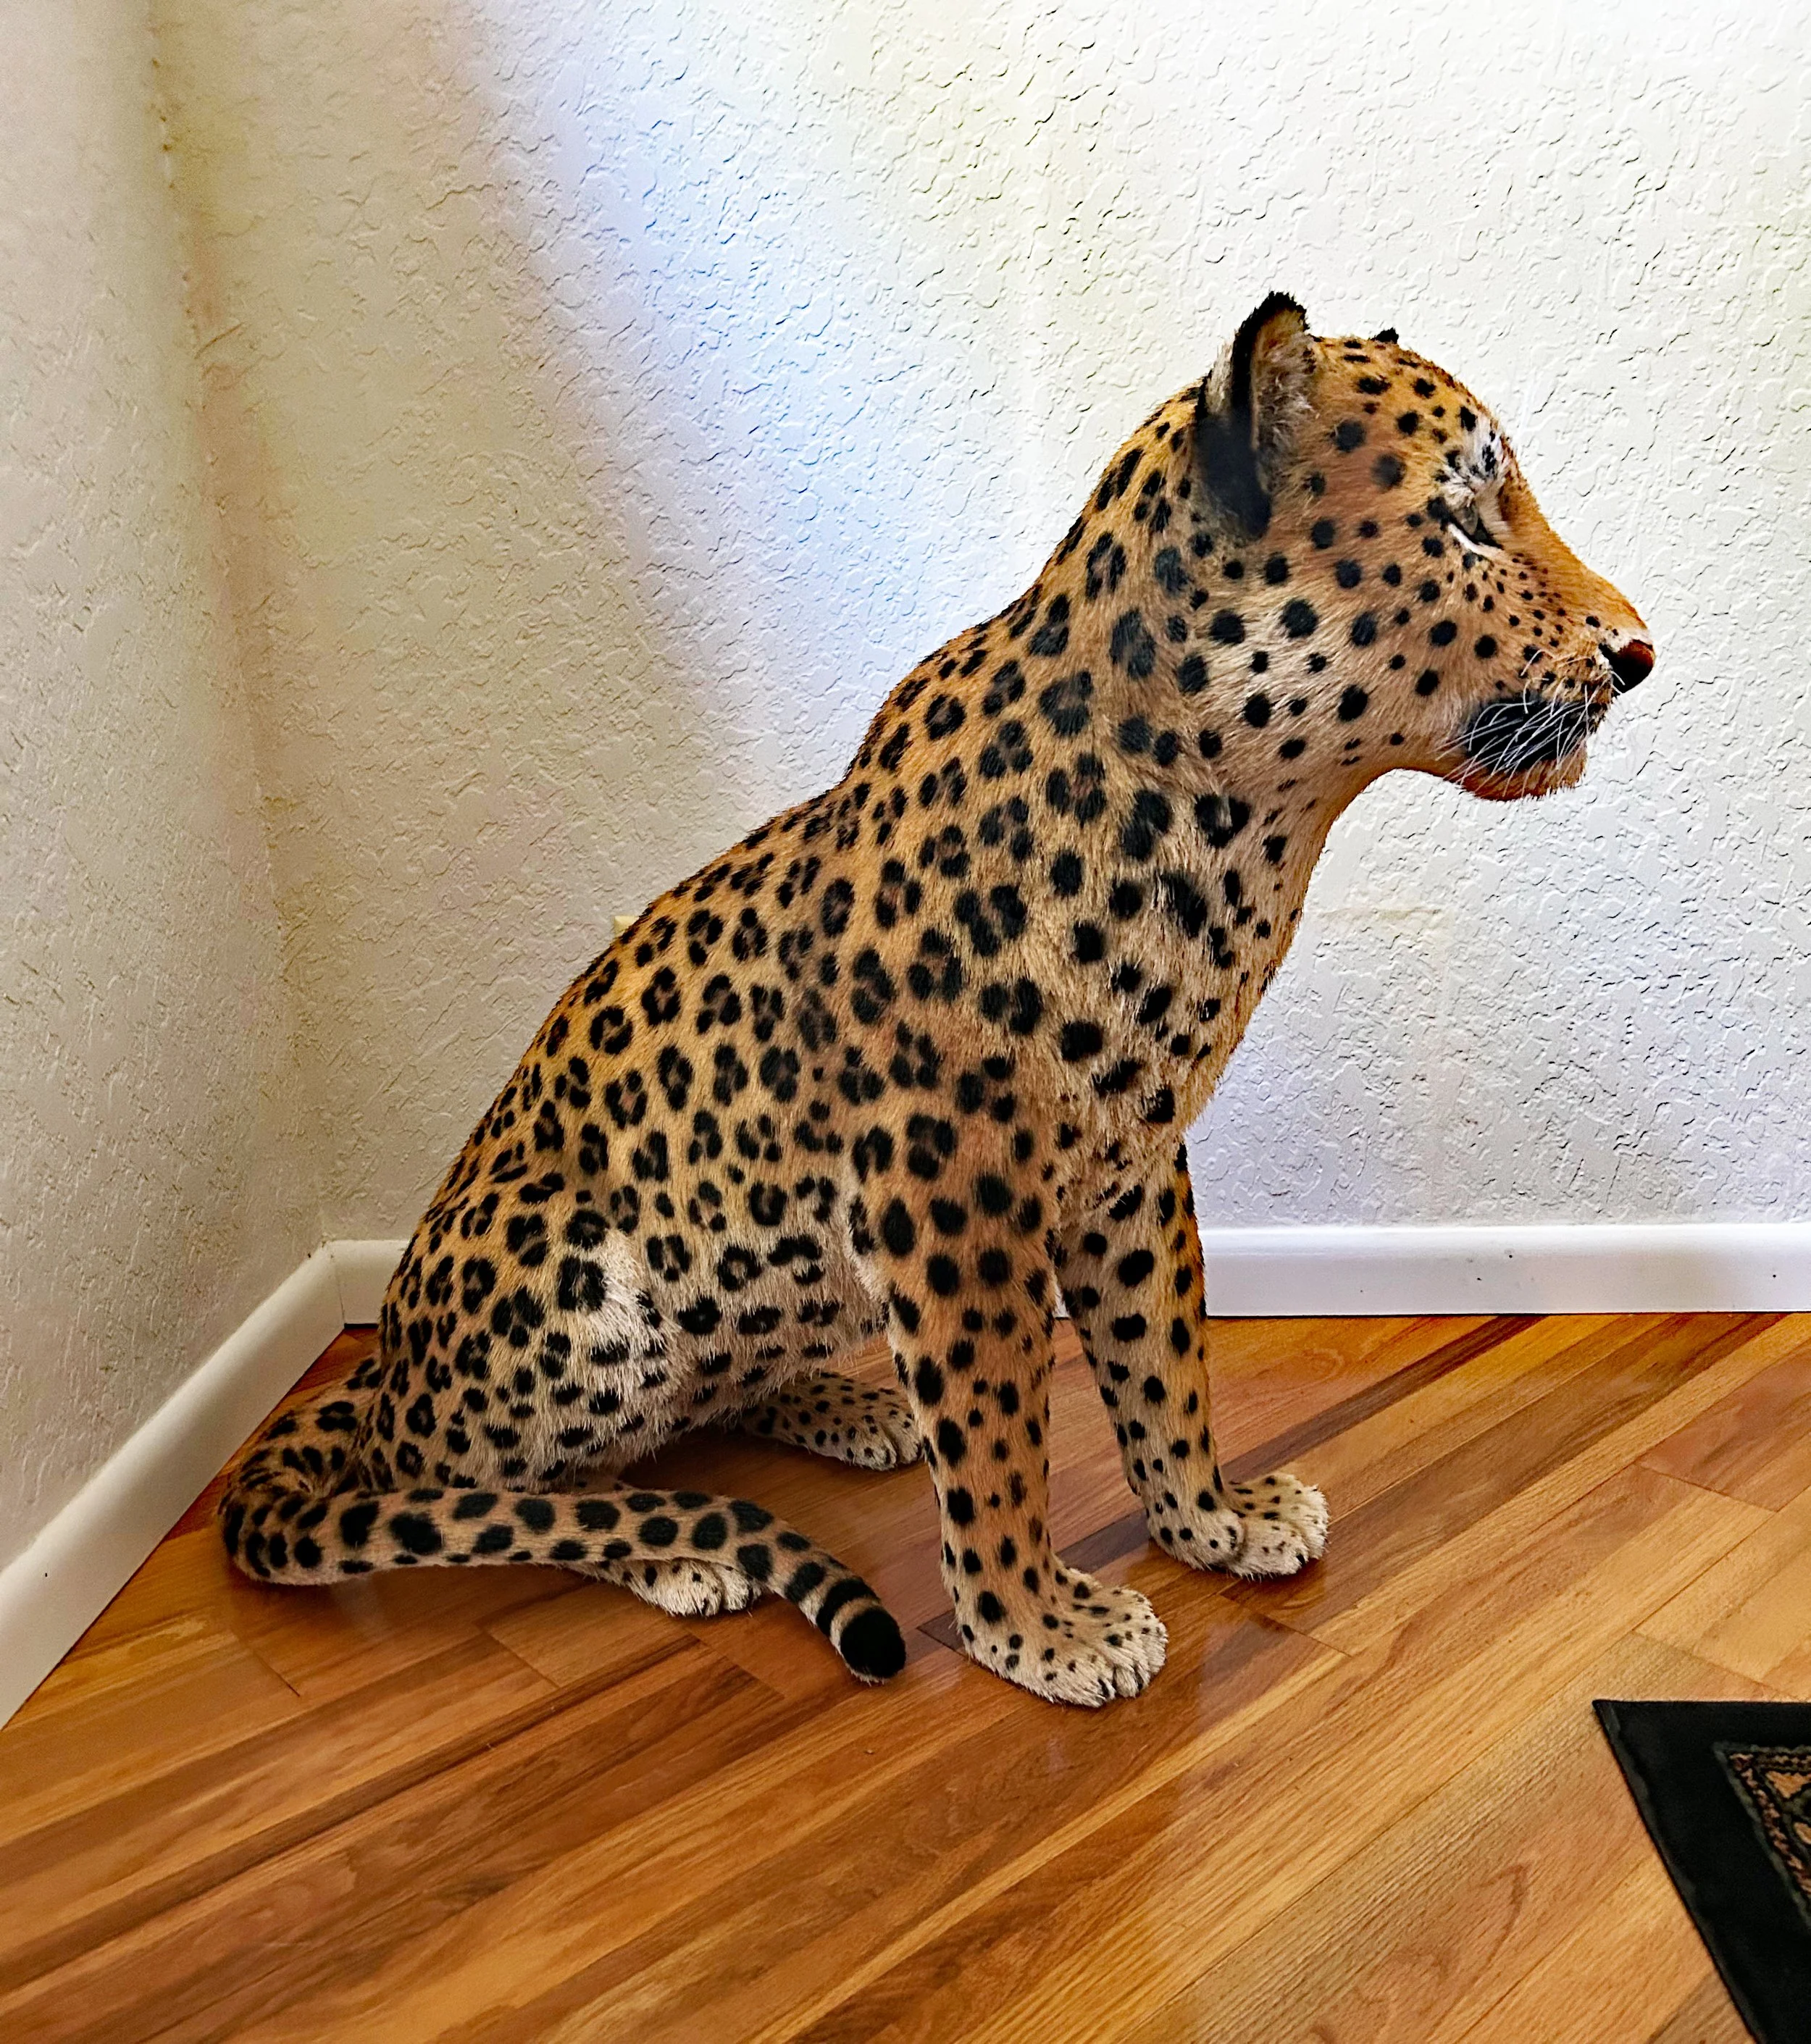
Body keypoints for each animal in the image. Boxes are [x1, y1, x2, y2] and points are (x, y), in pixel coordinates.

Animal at [223, 295, 1653, 1706]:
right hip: (572, 1272)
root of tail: (382, 1368)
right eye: (1464, 519)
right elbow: (999, 1434)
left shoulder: (1133, 1161)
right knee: (479, 1486)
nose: (1639, 653)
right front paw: (1040, 1628)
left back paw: (852, 1411)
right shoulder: (950, 1192)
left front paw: (1214, 1520)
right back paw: (676, 1551)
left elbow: (1164, 1362)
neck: (1239, 826)